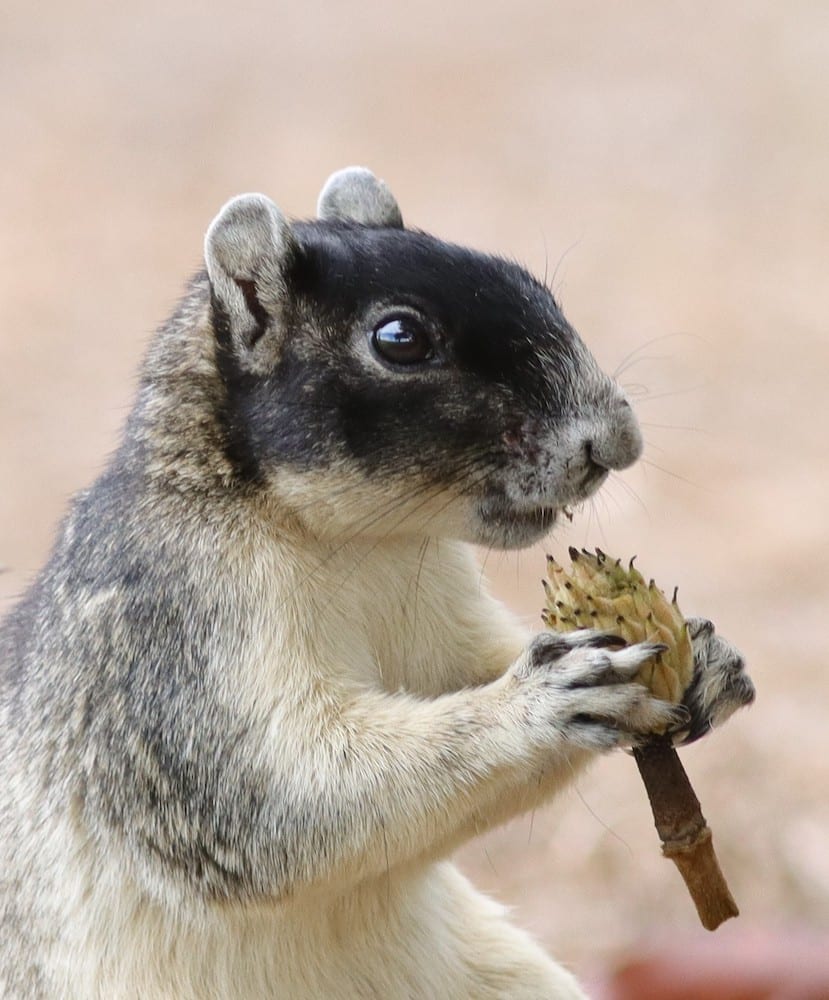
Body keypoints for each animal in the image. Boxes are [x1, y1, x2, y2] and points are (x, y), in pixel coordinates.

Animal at [0, 168, 752, 996]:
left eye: (530, 282)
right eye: (400, 339)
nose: (616, 442)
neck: (359, 544)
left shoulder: (443, 616)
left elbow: (476, 675)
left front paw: (707, 658)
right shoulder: (170, 648)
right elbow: (280, 797)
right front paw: (541, 704)